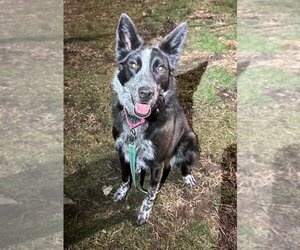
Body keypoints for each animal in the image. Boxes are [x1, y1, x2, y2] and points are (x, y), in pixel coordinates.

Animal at [111, 13, 198, 225]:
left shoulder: (158, 163)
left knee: (184, 162)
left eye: (160, 68)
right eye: (133, 64)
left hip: (190, 141)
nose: (146, 93)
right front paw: (121, 192)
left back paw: (187, 176)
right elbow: (125, 177)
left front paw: (144, 212)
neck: (138, 123)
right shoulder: (122, 151)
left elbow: (150, 193)